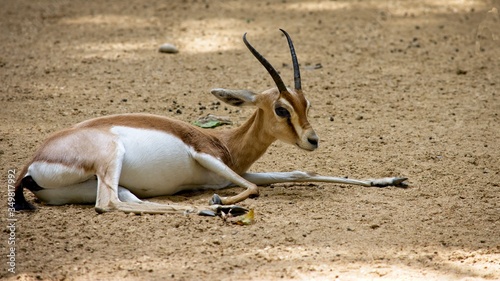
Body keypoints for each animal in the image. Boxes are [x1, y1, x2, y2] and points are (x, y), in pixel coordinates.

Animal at [14, 29, 406, 215]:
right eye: (281, 109)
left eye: (306, 103)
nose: (313, 140)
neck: (228, 144)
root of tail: (30, 164)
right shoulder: (207, 156)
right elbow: (254, 188)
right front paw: (222, 197)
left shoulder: (234, 170)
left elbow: (300, 172)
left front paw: (389, 180)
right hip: (111, 159)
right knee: (107, 204)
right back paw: (215, 206)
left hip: (97, 185)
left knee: (124, 200)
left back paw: (209, 208)